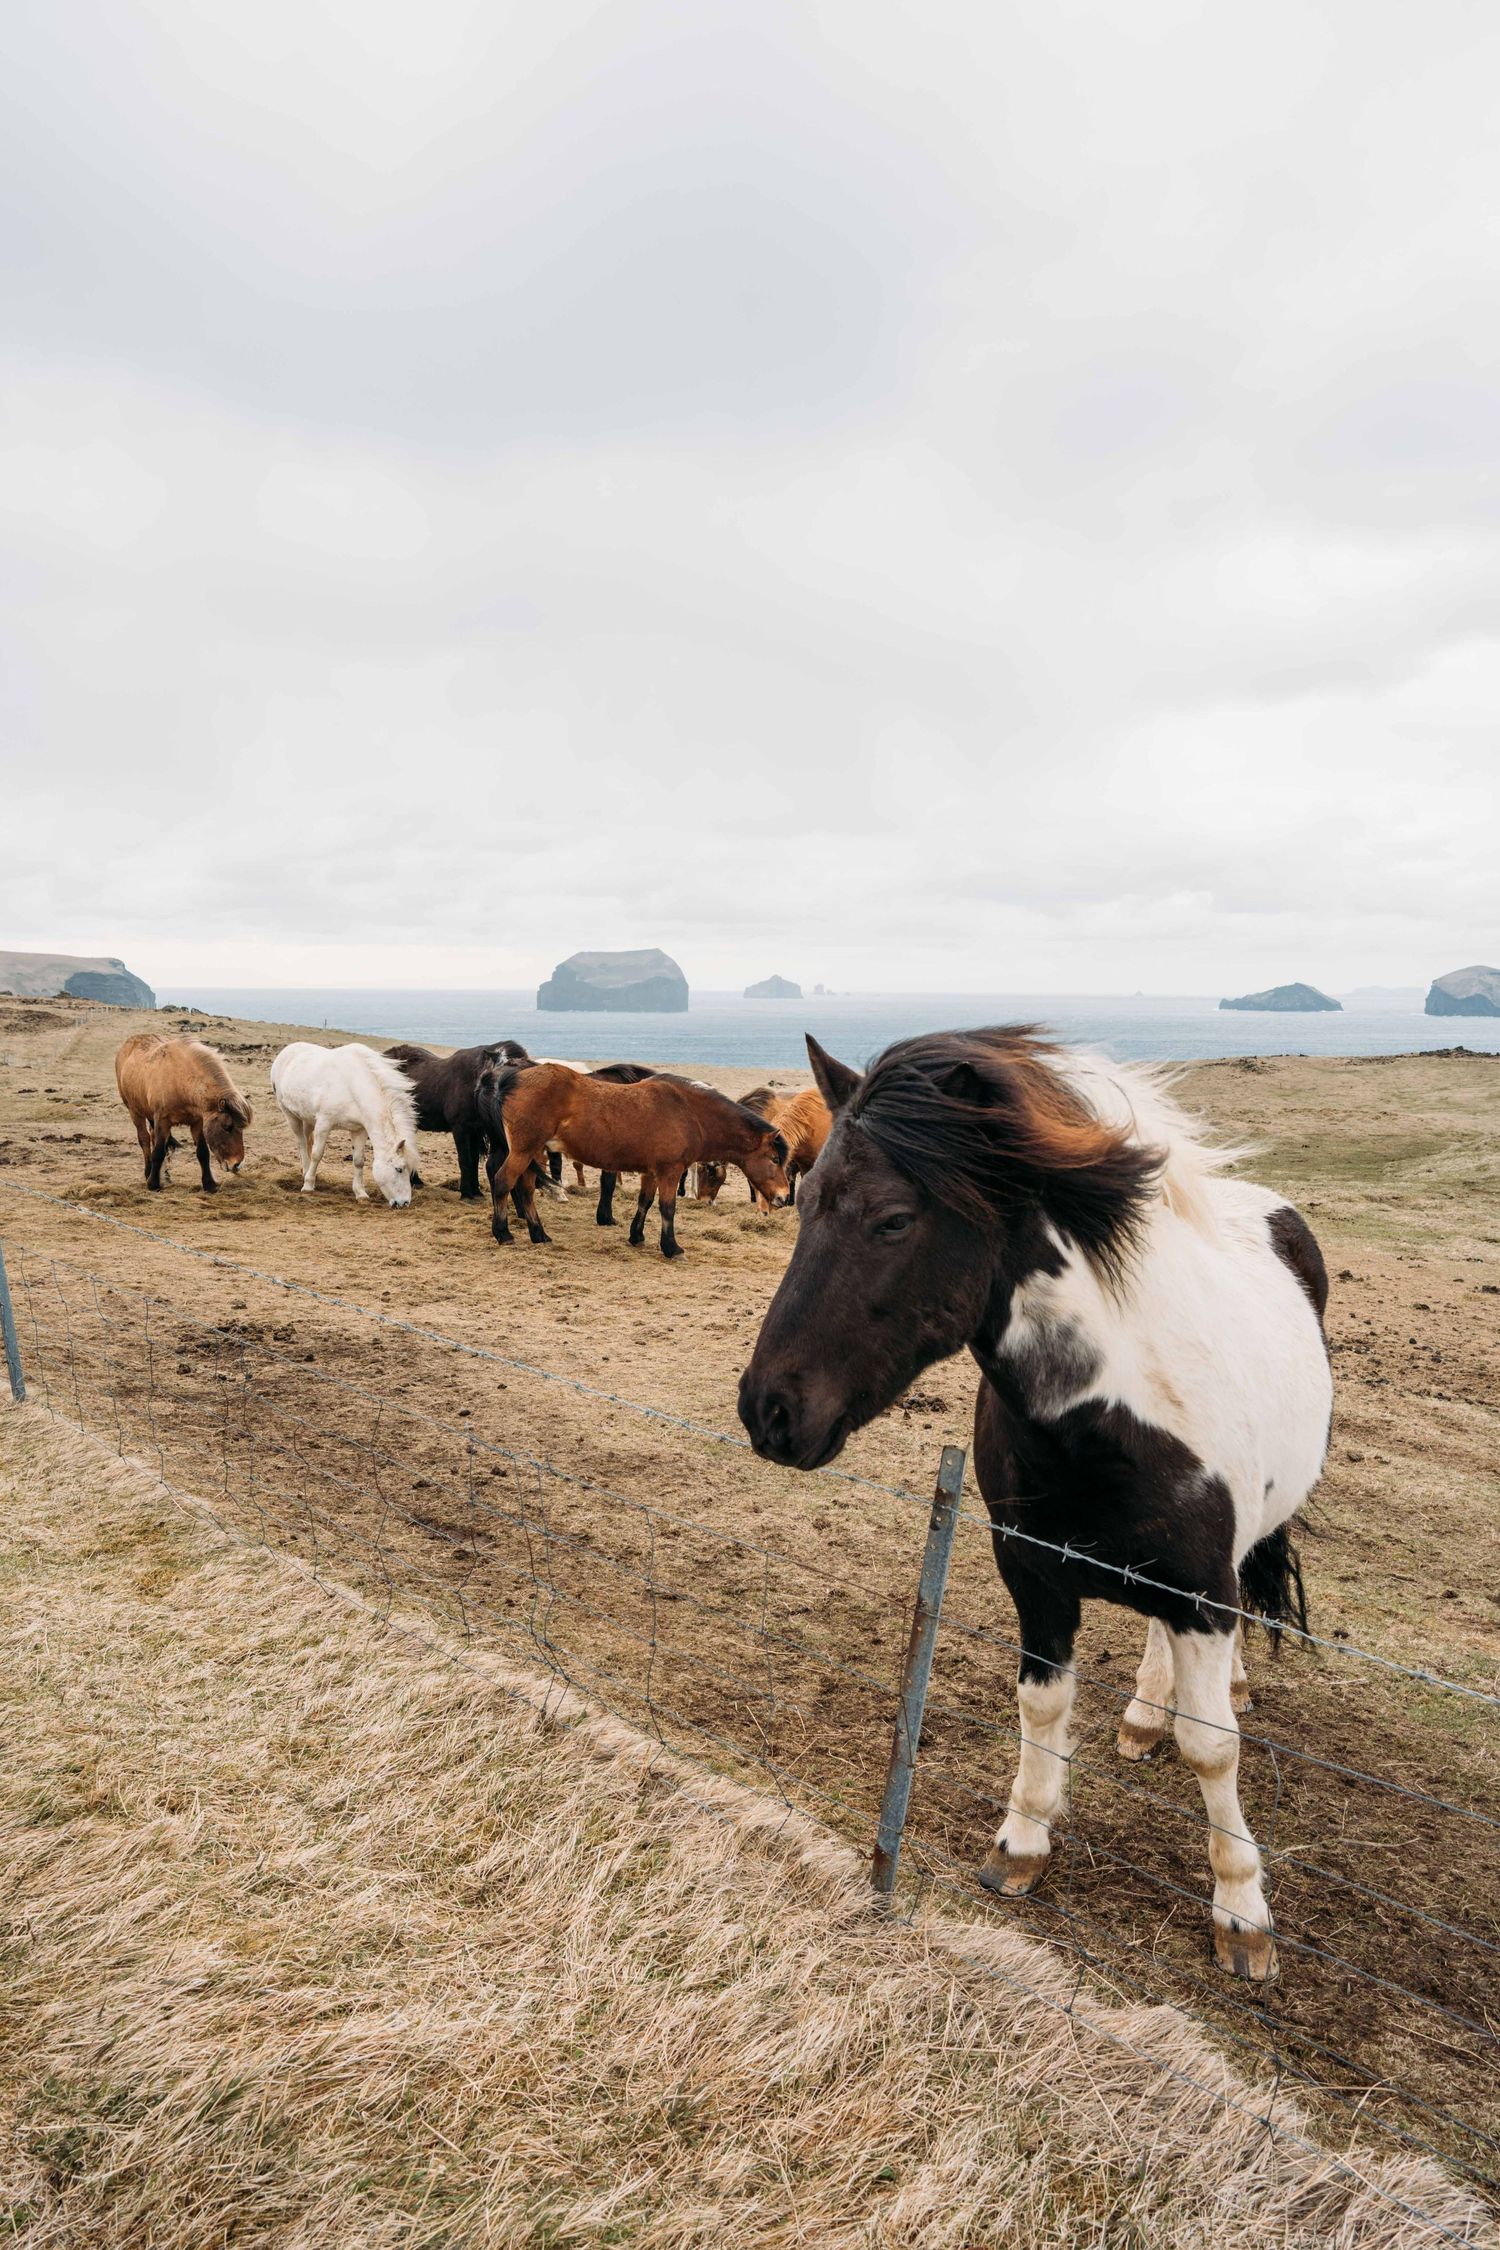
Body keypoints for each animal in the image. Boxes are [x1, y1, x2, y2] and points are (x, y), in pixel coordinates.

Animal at [114, 1034, 253, 1193]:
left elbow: (202, 1152)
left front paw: (209, 1184)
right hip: (135, 1112)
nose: (237, 1164)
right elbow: (158, 1152)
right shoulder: (162, 1120)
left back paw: (164, 1175)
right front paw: (153, 1184)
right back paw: (148, 1173)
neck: (180, 1080)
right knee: (145, 1140)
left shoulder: (198, 1122)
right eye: (227, 1127)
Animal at [271, 1043, 422, 1206]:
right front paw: (308, 1185)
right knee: (302, 1143)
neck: (353, 1086)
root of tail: (286, 1050)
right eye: (399, 1169)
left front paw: (360, 1193)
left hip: (308, 1118)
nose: (404, 1202)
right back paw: (306, 1173)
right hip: (290, 1114)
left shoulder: (359, 1130)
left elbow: (358, 1161)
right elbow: (317, 1154)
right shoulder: (324, 1123)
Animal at [385, 1040, 531, 1199]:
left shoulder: (475, 1131)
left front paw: (476, 1191)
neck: (473, 1084)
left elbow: (474, 1161)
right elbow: (465, 1160)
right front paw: (466, 1193)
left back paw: (415, 1181)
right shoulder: (460, 1129)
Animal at [478, 1063, 791, 1255]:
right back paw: (503, 1233)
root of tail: (510, 1079)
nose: (785, 1197)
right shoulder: (670, 1171)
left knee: (526, 1189)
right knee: (502, 1182)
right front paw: (671, 1247)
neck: (689, 1111)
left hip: (532, 1152)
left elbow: (646, 1202)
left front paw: (636, 1236)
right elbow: (667, 1208)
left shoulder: (651, 1171)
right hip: (522, 1151)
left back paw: (539, 1234)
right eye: (775, 1159)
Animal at [739, 1028, 1331, 1983]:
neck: (1112, 1417)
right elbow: (1044, 1707)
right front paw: (1022, 1842)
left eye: (893, 1220)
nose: (769, 1411)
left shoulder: (1202, 1592)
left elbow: (1213, 1746)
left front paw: (1242, 1911)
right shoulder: (1034, 1574)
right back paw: (1143, 1714)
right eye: (802, 1204)